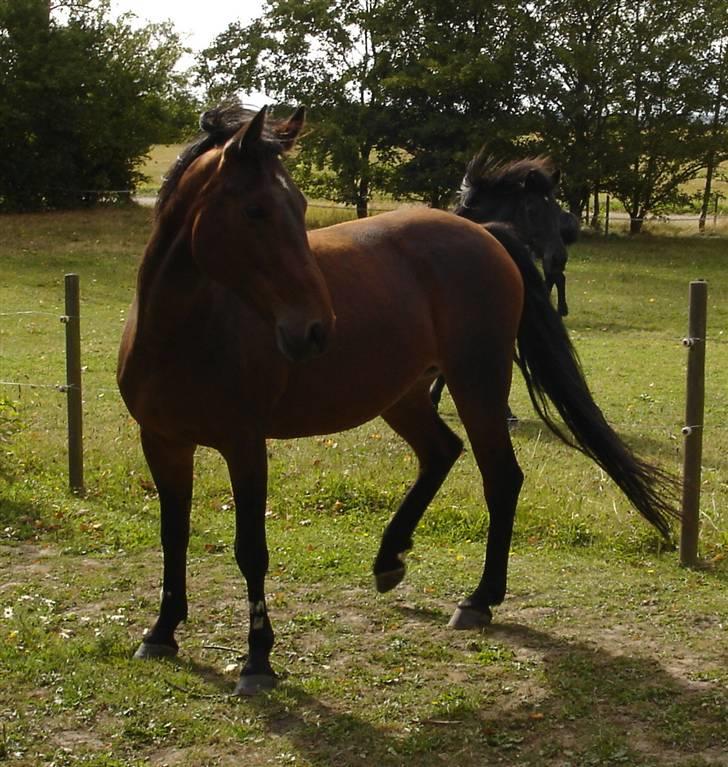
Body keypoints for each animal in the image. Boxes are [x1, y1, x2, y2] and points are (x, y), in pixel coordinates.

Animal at [116, 105, 680, 700]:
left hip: (477, 384)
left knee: (501, 477)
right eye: (255, 210)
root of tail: (484, 234)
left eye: (298, 207)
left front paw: (257, 661)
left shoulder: (245, 447)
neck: (184, 331)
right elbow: (172, 535)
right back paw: (390, 558)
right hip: (405, 396)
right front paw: (161, 631)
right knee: (441, 452)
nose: (315, 329)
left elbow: (251, 550)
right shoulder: (163, 443)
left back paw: (479, 599)